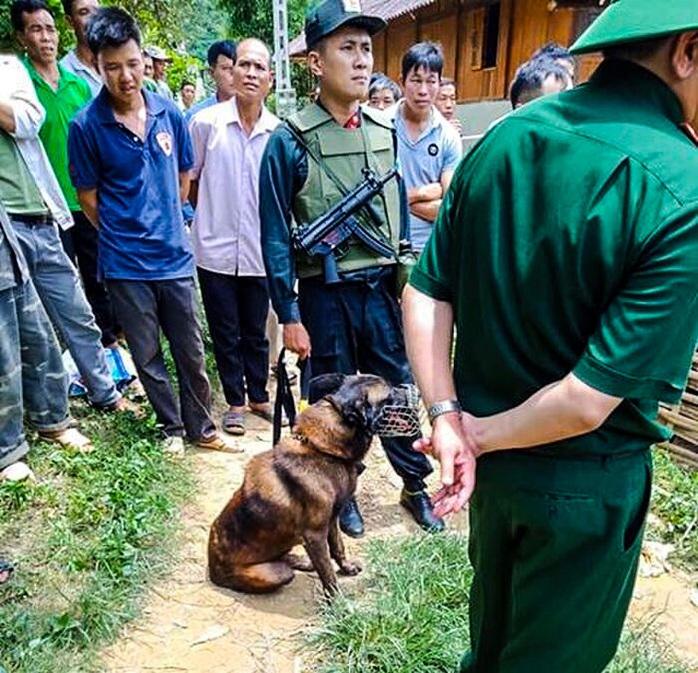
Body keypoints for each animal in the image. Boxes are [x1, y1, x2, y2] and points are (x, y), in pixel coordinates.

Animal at [207, 370, 418, 596]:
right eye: (389, 395)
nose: (413, 389)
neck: (322, 450)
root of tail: (212, 570)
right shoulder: (315, 535)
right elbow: (328, 574)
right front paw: (338, 602)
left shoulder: (332, 520)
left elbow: (338, 547)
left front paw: (346, 567)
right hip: (276, 573)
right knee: (284, 568)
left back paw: (302, 561)